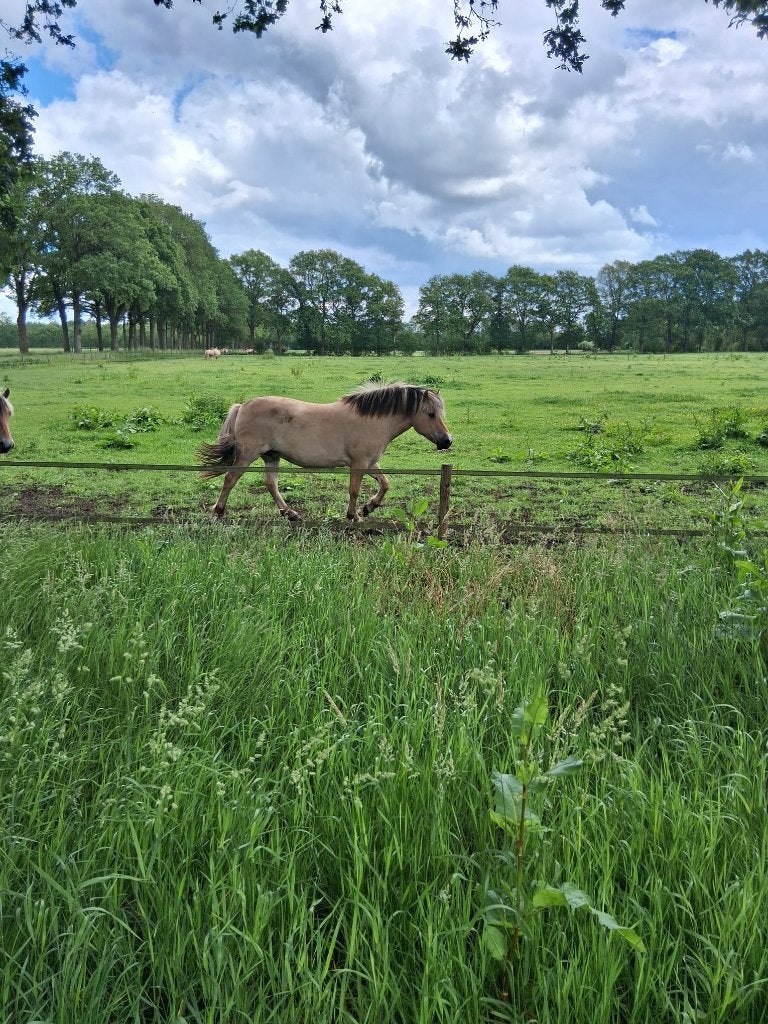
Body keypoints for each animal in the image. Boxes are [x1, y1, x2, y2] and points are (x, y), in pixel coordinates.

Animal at [196, 383, 452, 522]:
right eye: (430, 414)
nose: (447, 441)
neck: (373, 420)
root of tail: (242, 406)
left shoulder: (370, 463)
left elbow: (385, 484)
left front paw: (368, 507)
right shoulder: (359, 463)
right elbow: (354, 490)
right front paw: (353, 515)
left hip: (272, 456)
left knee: (271, 484)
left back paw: (290, 513)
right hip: (247, 455)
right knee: (230, 479)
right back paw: (218, 511)